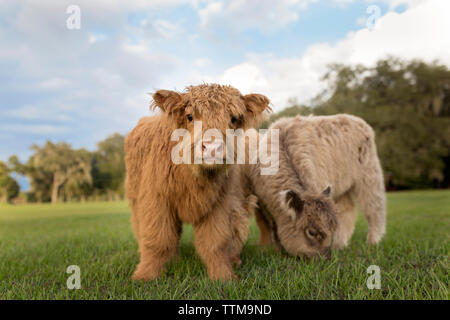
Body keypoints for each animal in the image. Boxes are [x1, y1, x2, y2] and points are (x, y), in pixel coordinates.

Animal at [248, 114, 384, 258]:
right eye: (312, 232)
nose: (326, 258)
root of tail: (356, 119)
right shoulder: (266, 206)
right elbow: (273, 229)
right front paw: (281, 252)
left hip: (369, 176)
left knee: (374, 208)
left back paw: (373, 241)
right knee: (348, 210)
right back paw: (340, 243)